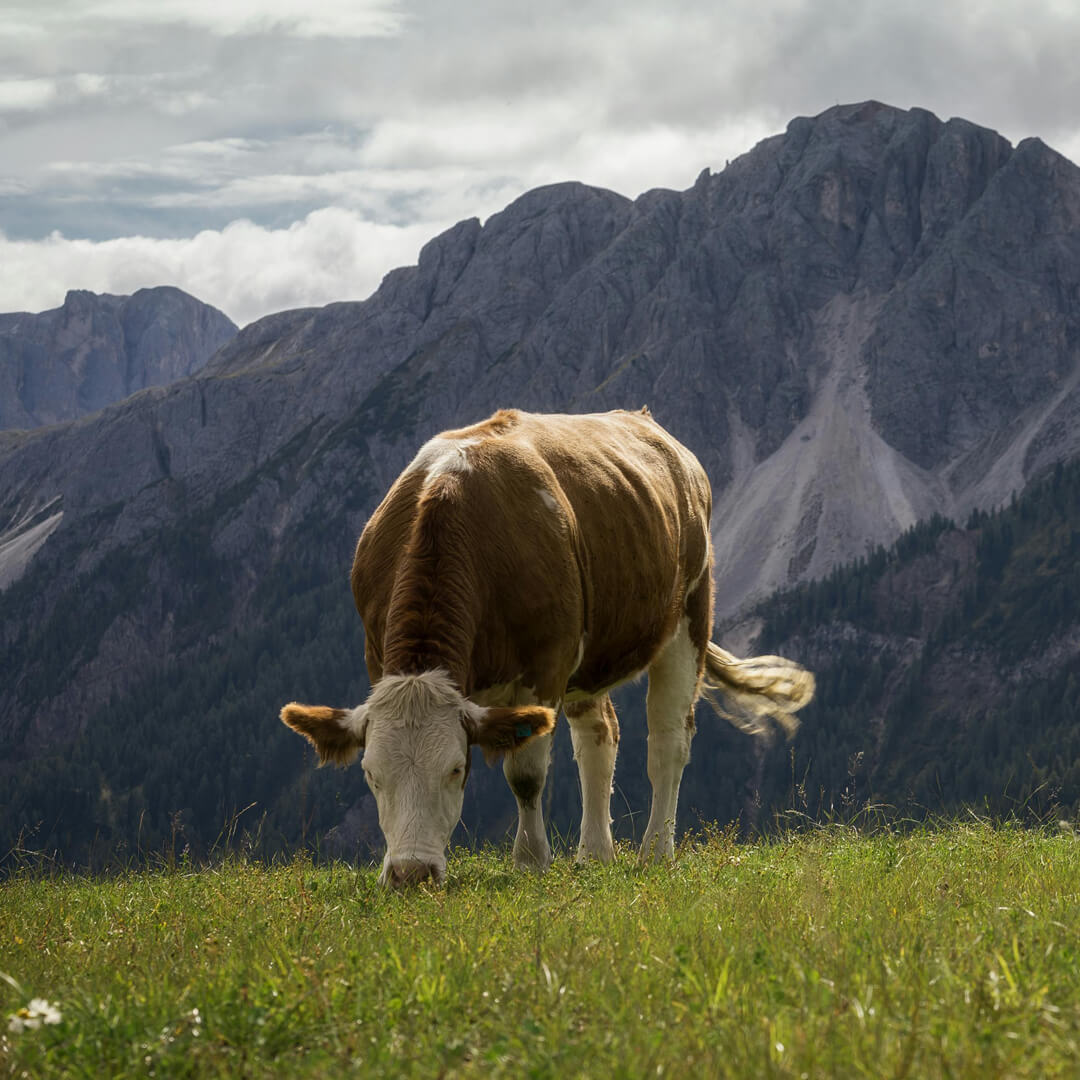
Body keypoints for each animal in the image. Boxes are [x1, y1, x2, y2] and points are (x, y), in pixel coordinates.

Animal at [278, 408, 812, 889]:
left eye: (456, 769)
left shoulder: (546, 665)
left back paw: (655, 852)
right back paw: (595, 853)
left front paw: (531, 860)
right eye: (371, 774)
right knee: (600, 735)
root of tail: (648, 423)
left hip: (688, 618)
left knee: (668, 742)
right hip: (591, 659)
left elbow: (526, 774)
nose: (411, 875)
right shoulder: (376, 656)